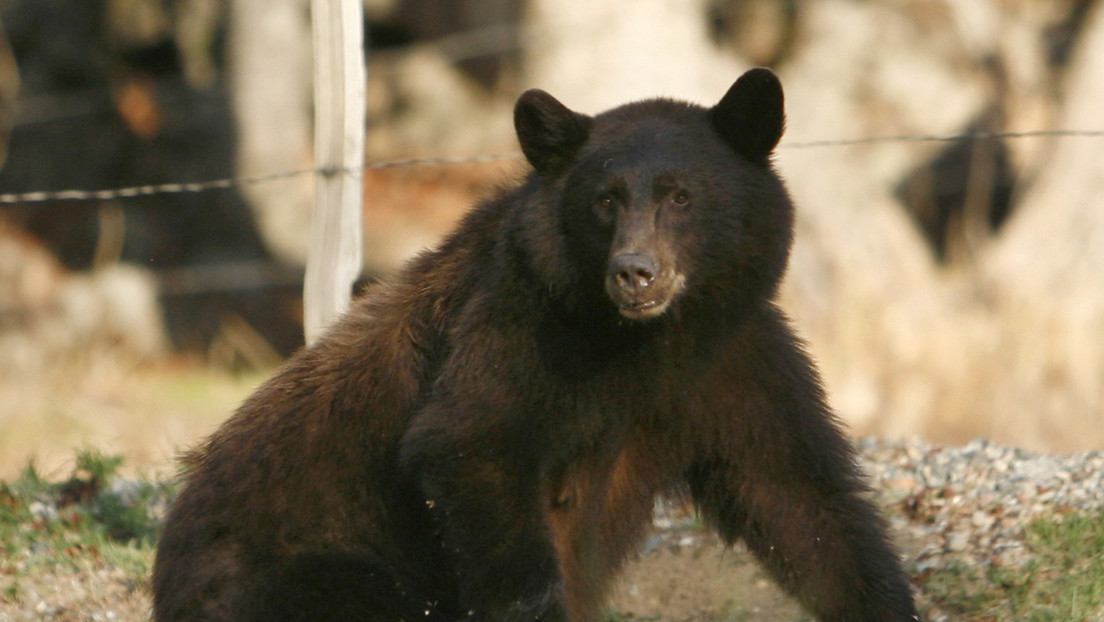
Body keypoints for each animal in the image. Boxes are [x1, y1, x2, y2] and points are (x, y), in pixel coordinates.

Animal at [151, 69, 918, 622]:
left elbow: (799, 499)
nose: (635, 271)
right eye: (605, 200)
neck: (648, 339)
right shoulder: (522, 329)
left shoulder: (733, 358)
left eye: (681, 196)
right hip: (298, 568)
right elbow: (475, 444)